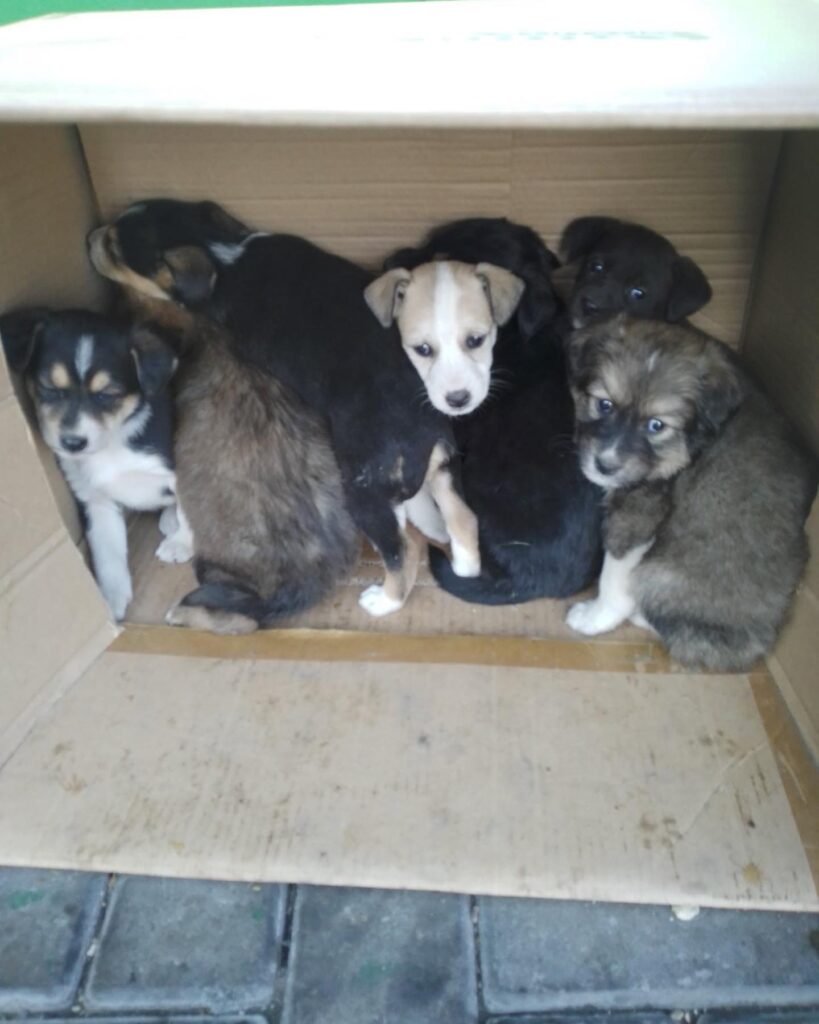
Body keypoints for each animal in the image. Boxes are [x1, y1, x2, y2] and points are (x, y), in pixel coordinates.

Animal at [0, 307, 179, 620]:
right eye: (49, 388)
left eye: (107, 395)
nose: (72, 442)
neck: (112, 442)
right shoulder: (95, 500)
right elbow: (107, 555)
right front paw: (110, 605)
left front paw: (182, 545)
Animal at [88, 202, 360, 634]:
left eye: (114, 247)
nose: (90, 236)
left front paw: (174, 538)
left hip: (222, 573)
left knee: (240, 617)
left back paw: (183, 611)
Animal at [565, 316, 818, 671]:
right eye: (605, 404)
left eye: (656, 425)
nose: (605, 466)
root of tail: (767, 635)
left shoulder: (639, 513)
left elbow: (614, 576)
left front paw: (595, 617)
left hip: (659, 574)